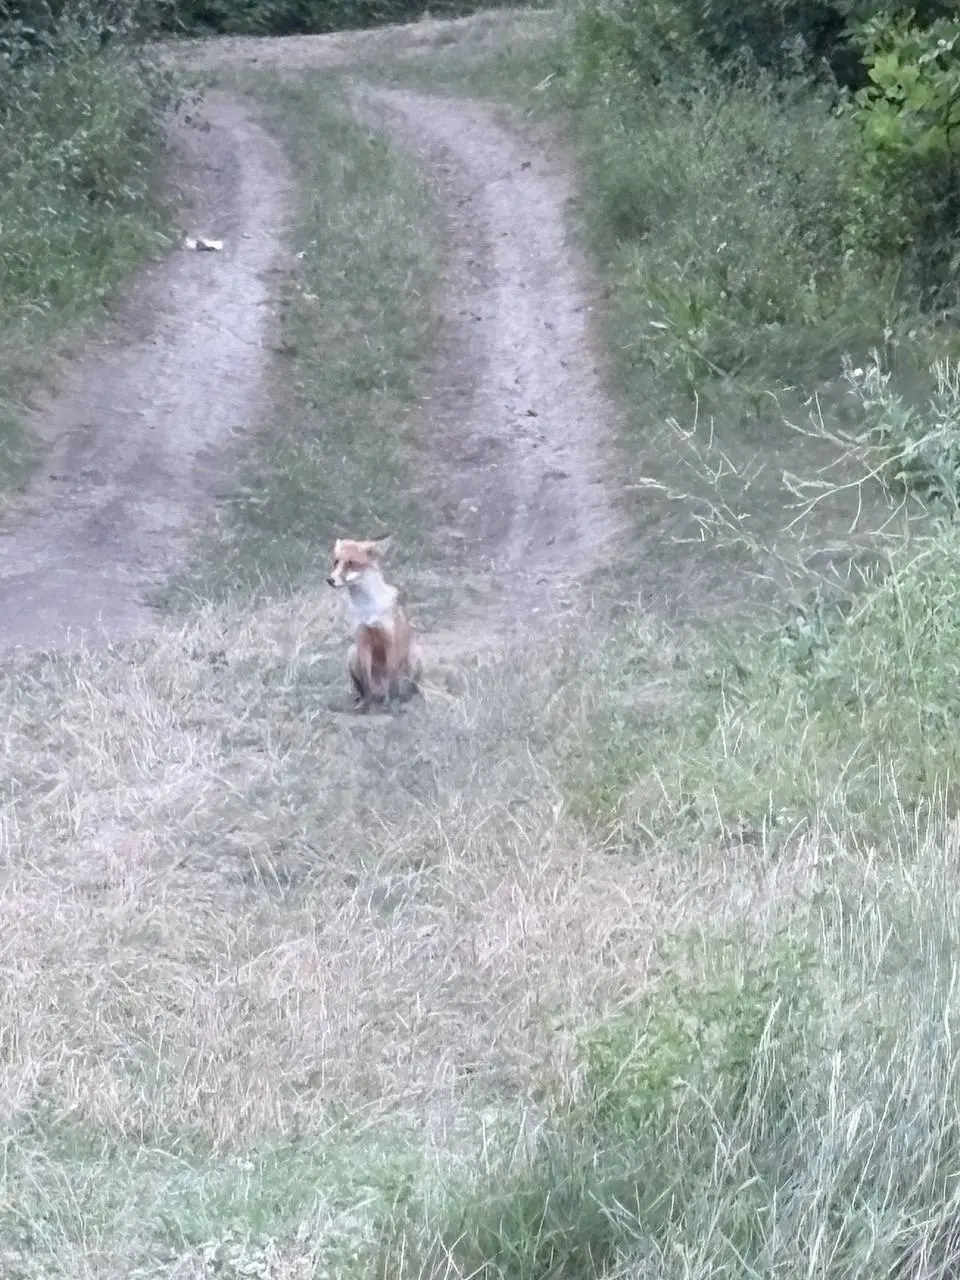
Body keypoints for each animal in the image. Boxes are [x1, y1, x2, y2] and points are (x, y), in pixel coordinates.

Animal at [326, 535, 421, 710]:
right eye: (336, 562)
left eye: (350, 563)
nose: (330, 580)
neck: (368, 608)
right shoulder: (362, 640)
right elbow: (366, 681)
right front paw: (366, 706)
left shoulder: (389, 640)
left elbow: (393, 681)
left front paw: (393, 704)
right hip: (352, 653)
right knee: (364, 688)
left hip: (415, 655)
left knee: (408, 686)